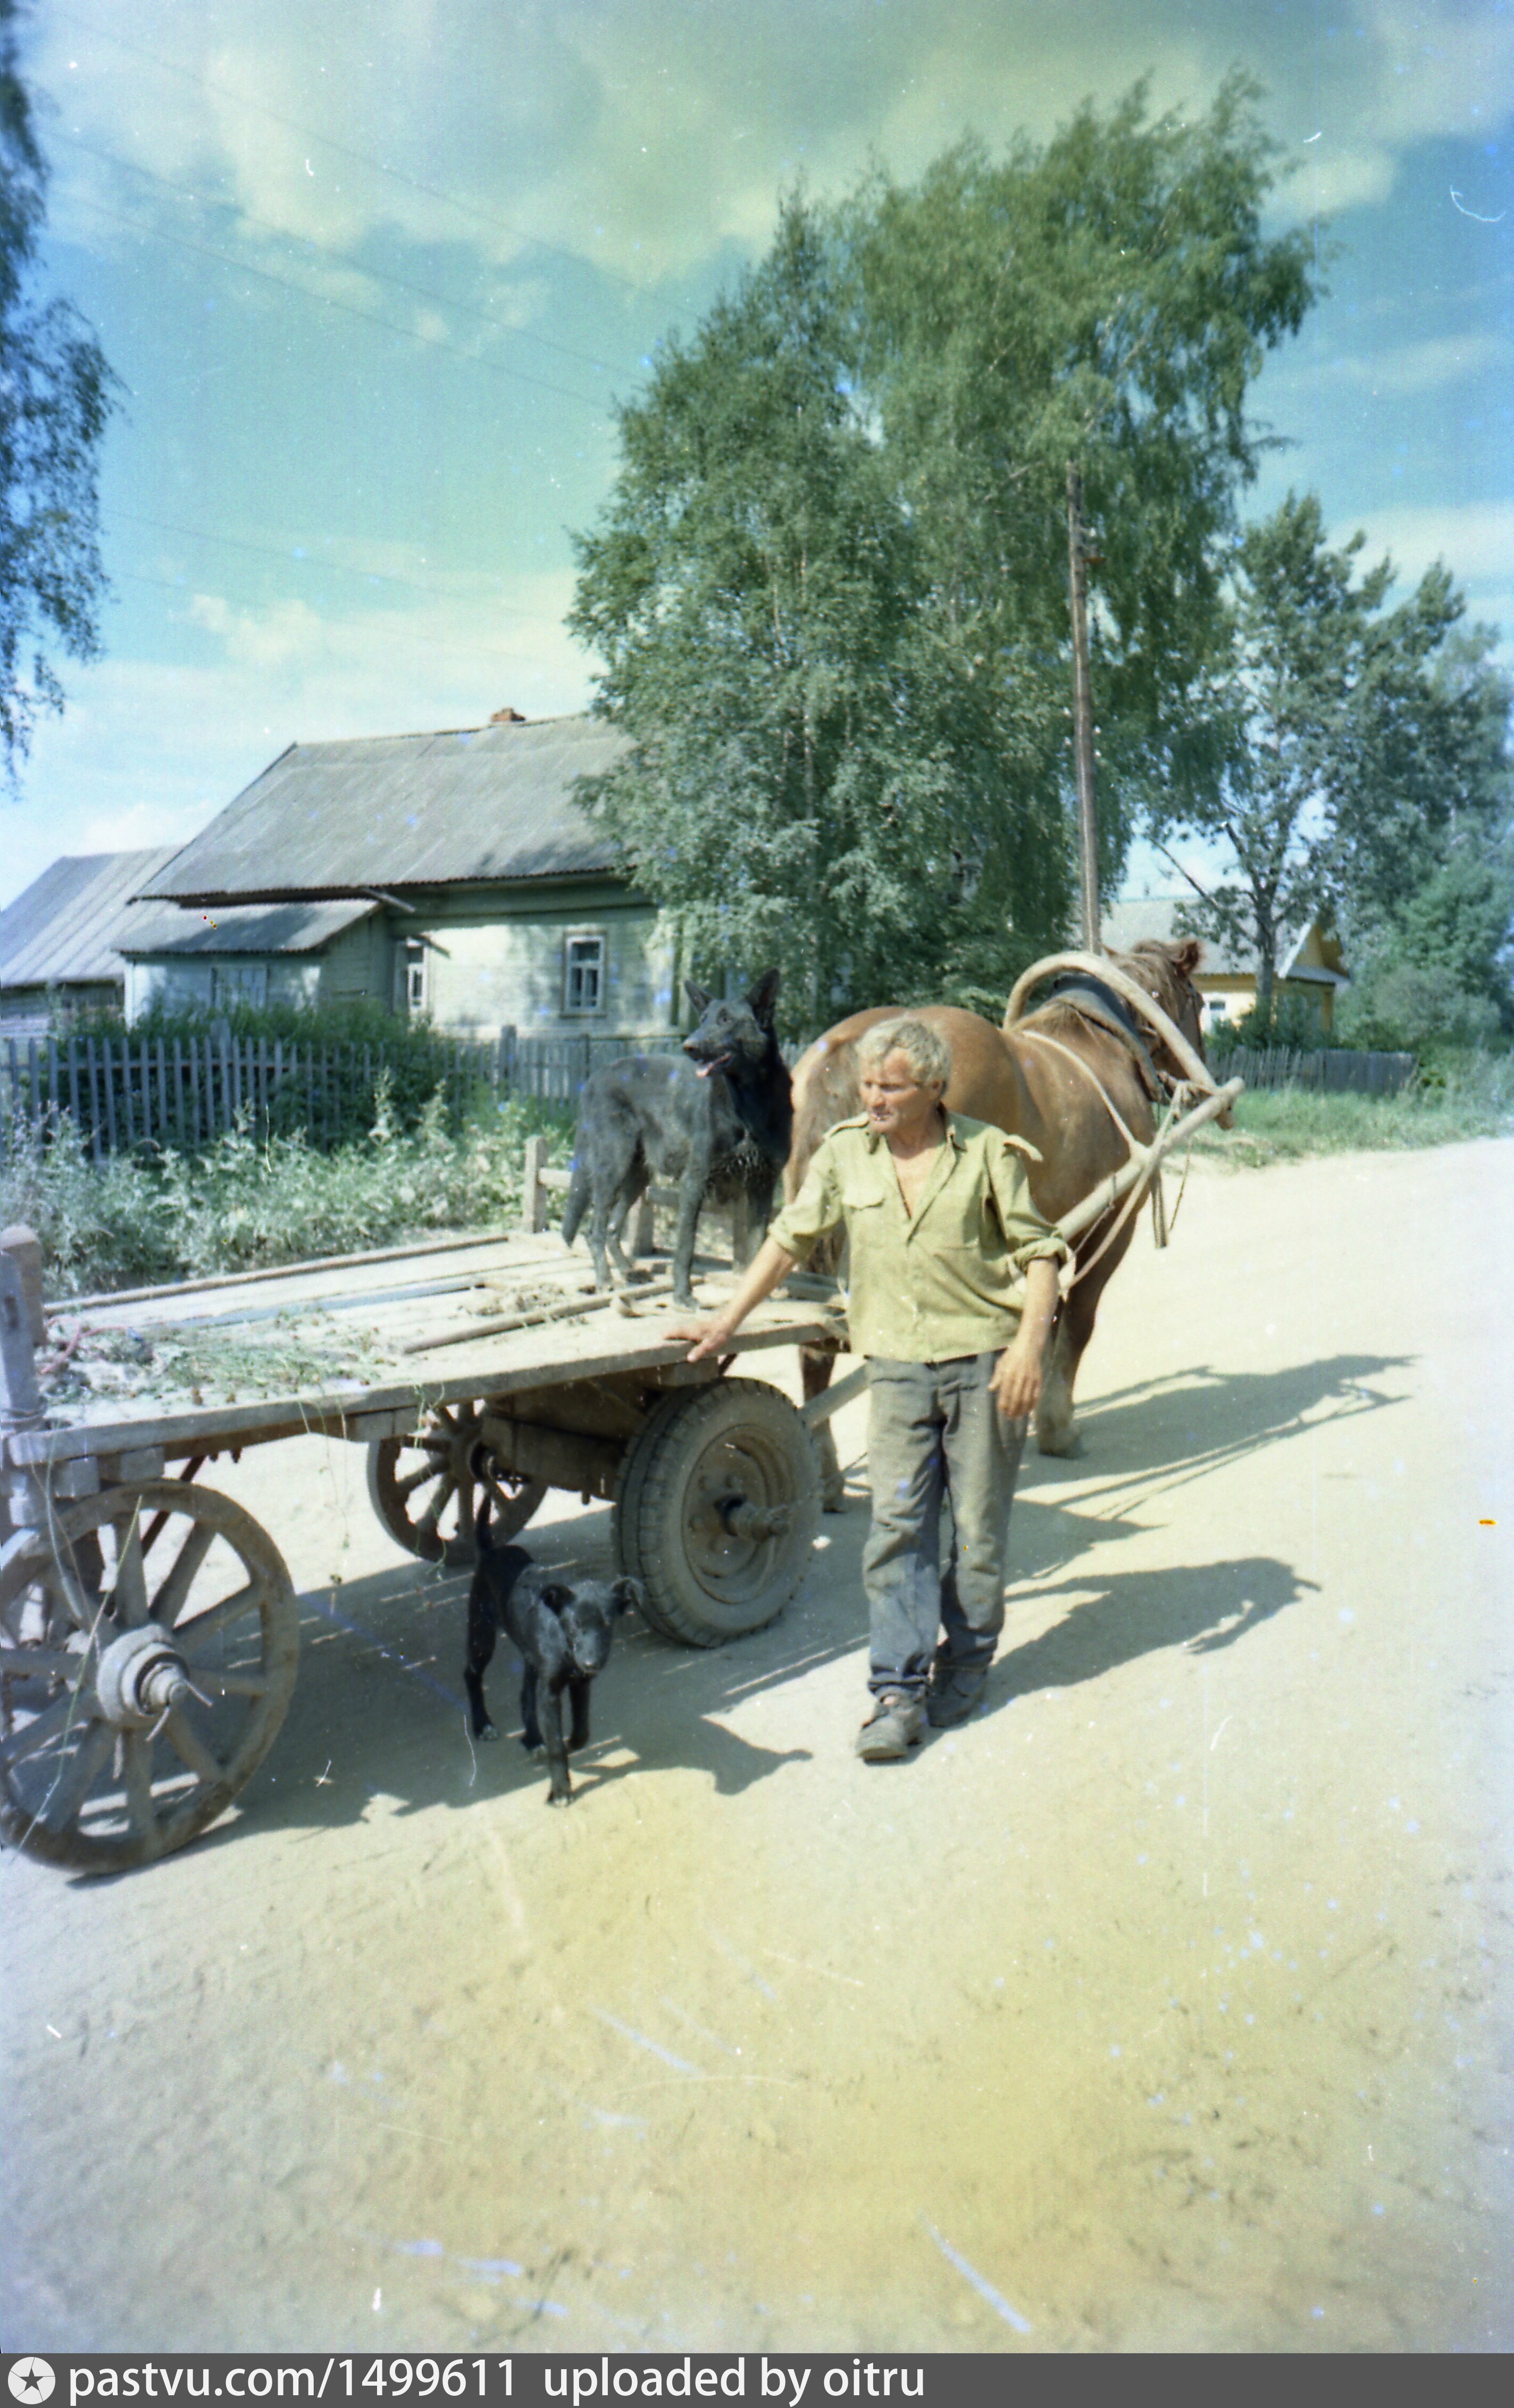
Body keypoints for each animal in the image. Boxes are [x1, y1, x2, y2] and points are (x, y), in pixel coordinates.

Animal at [463, 1496, 643, 1805]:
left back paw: (534, 1739)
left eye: (608, 1624)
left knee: (525, 1694)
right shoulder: (550, 1692)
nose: (592, 1663)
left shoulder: (580, 1684)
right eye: (575, 1624)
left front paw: (571, 1743)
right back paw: (482, 1725)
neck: (565, 1646)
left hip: (530, 1655)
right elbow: (557, 1746)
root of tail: (491, 1551)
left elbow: (582, 1730)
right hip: (482, 1636)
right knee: (471, 1675)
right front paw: (560, 1790)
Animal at [560, 967, 793, 1309]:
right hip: (612, 1168)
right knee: (595, 1230)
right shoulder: (694, 1182)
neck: (750, 1102)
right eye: (703, 1019)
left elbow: (755, 1246)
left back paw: (628, 1271)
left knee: (614, 1229)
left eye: (726, 1020)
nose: (689, 1047)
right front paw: (683, 1295)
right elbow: (686, 1245)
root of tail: (594, 1077)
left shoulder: (762, 1186)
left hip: (637, 1176)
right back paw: (605, 1280)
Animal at [784, 939, 1209, 1501]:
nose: (1199, 1077)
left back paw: (827, 1471)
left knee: (814, 1344)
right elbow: (1076, 1320)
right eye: (1200, 1001)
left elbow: (1044, 1316)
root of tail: (854, 1043)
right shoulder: (1109, 1223)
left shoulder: (1046, 1228)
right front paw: (1056, 1428)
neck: (1101, 1048)